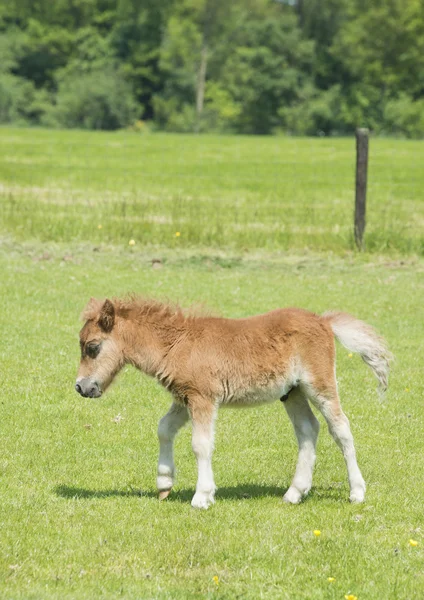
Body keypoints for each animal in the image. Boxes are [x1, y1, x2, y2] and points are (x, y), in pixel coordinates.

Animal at [74, 298, 390, 508]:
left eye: (92, 347)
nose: (81, 387)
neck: (177, 345)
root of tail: (323, 321)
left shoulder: (203, 398)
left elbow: (200, 445)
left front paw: (202, 496)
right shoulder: (184, 398)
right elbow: (163, 429)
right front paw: (164, 484)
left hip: (319, 385)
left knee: (341, 429)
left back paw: (357, 492)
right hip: (293, 392)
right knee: (308, 430)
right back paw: (294, 493)